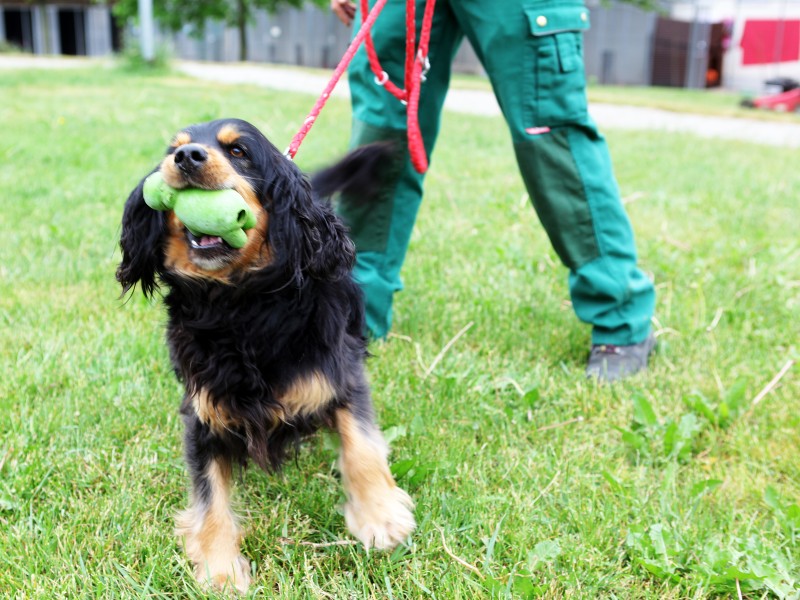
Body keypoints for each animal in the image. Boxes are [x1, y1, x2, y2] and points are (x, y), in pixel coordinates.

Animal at [117, 119, 418, 592]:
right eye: (174, 150)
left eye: (239, 151)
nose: (187, 158)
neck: (239, 303)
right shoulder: (203, 408)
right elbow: (210, 495)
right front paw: (220, 570)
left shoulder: (340, 371)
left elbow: (361, 444)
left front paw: (380, 516)